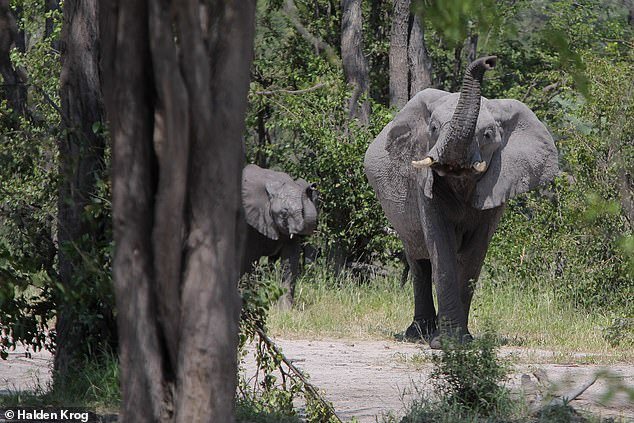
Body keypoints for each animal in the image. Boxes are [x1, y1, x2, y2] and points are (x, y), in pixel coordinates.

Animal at [238, 165, 316, 308]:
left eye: (302, 211)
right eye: (284, 213)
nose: (312, 186)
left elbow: (290, 262)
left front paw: (286, 310)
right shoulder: (250, 221)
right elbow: (249, 259)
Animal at [362, 55, 556, 348]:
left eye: (487, 135)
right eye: (433, 129)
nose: (489, 61)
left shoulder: (497, 186)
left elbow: (475, 253)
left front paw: (460, 341)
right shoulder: (423, 185)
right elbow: (440, 246)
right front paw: (446, 343)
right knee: (419, 261)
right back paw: (418, 333)